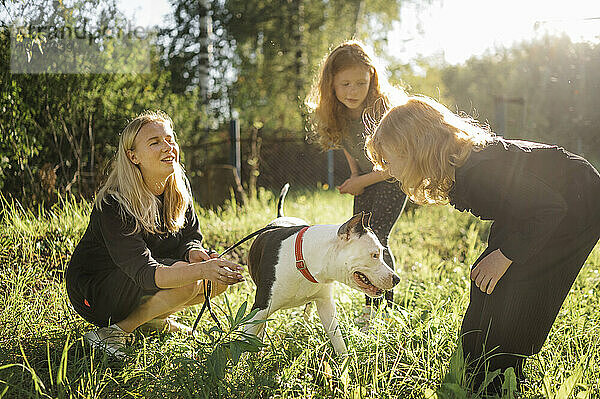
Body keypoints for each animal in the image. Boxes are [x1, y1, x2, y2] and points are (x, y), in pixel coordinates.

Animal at [244, 184, 398, 356]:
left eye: (381, 253)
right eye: (375, 255)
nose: (397, 279)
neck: (306, 258)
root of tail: (281, 217)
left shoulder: (326, 306)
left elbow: (337, 339)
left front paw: (345, 361)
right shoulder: (259, 309)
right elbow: (244, 343)